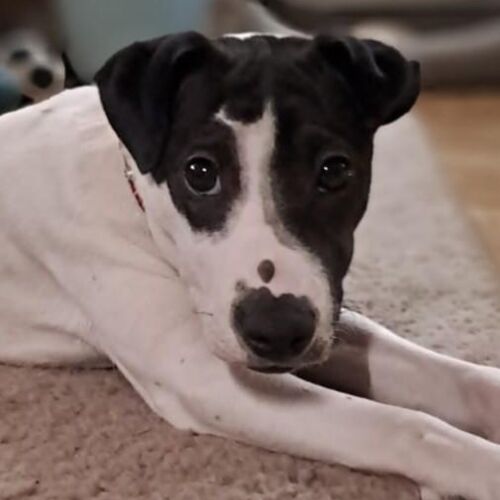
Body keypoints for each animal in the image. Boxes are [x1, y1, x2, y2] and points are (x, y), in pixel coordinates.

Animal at [1, 31, 500, 499]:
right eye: (199, 172)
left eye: (335, 170)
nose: (277, 332)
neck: (133, 195)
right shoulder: (202, 377)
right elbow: (409, 427)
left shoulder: (325, 316)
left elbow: (458, 378)